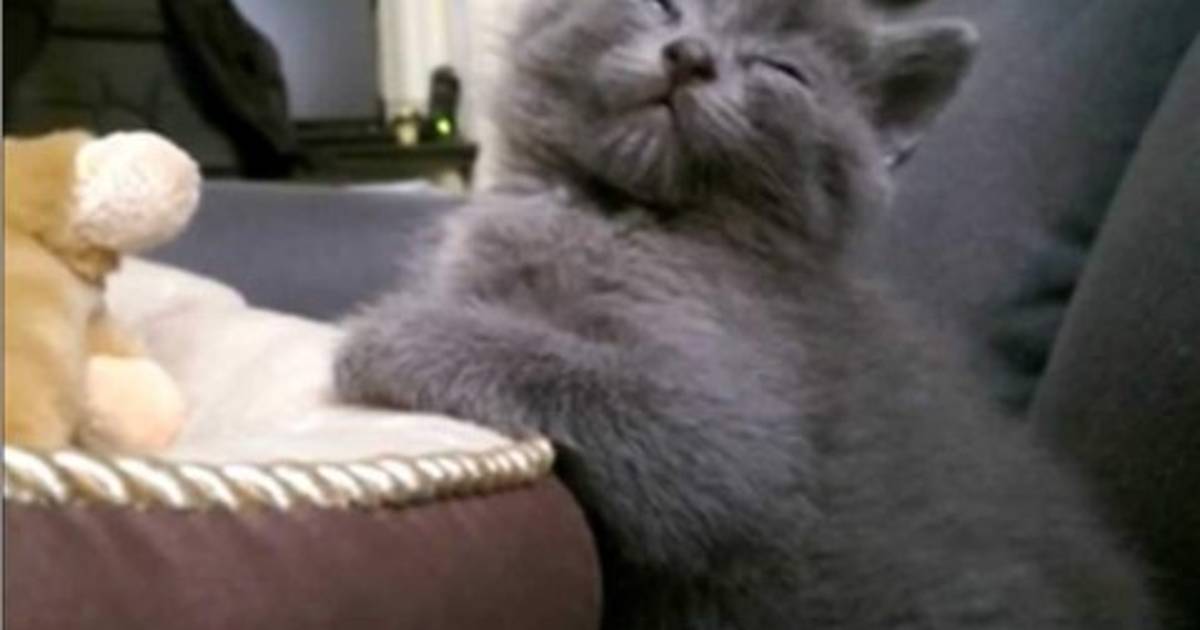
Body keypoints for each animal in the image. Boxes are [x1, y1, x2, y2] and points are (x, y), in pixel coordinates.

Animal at [335, 0, 1157, 627]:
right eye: (665, 2)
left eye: (781, 70)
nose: (692, 55)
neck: (617, 213)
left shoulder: (734, 436)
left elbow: (579, 376)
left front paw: (389, 335)